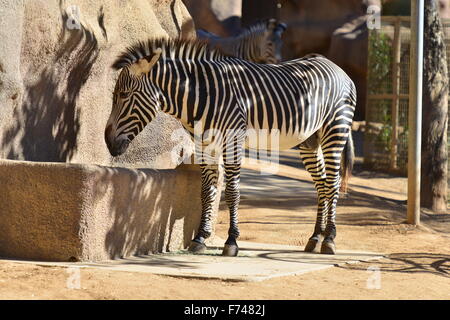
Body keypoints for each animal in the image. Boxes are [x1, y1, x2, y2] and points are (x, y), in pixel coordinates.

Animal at [104, 37, 356, 258]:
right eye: (114, 95)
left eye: (124, 95)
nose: (107, 142)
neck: (202, 96)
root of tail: (337, 67)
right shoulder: (204, 146)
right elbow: (207, 191)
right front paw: (200, 238)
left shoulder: (233, 141)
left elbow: (232, 191)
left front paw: (232, 241)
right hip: (310, 142)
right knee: (321, 184)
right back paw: (315, 237)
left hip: (335, 130)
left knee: (332, 183)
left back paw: (330, 238)